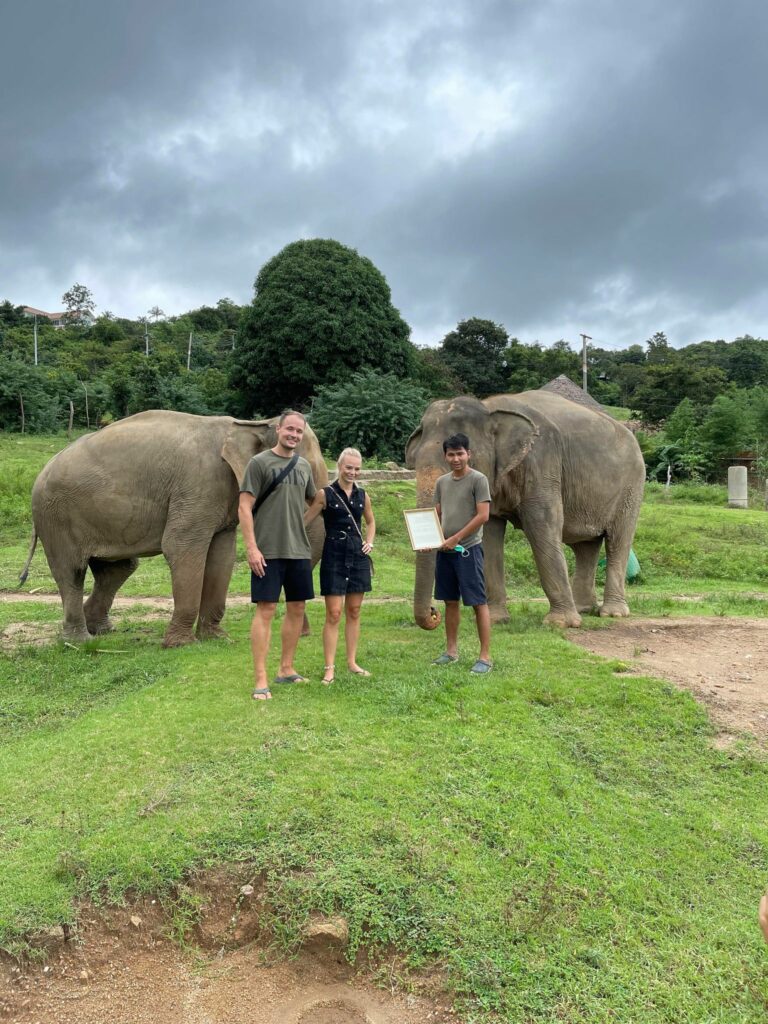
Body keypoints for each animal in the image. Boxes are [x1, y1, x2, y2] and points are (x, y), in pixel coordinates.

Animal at [20, 409, 327, 643]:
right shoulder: (198, 485)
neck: (253, 425)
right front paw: (181, 644)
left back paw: (101, 630)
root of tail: (43, 471)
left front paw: (217, 638)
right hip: (56, 516)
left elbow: (222, 555)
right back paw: (80, 641)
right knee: (72, 571)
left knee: (118, 569)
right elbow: (181, 547)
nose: (304, 635)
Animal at [405, 391, 647, 626]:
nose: (434, 612)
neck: (488, 408)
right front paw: (496, 620)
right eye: (415, 462)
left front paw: (561, 624)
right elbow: (490, 533)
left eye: (461, 459)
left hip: (632, 485)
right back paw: (584, 609)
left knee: (618, 540)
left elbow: (541, 526)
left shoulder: (541, 462)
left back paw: (612, 614)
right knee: (586, 547)